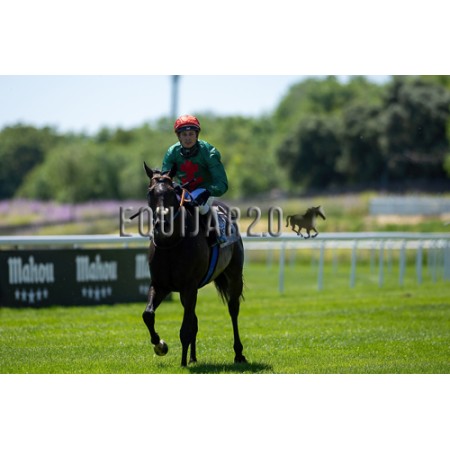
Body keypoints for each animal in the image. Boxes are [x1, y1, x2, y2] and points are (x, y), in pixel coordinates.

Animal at [141, 162, 247, 367]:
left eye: (172, 191)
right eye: (150, 192)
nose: (163, 222)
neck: (171, 244)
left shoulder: (189, 287)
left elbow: (185, 329)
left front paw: (182, 362)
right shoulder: (160, 284)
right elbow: (148, 315)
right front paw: (160, 345)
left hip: (234, 274)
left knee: (233, 310)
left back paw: (238, 354)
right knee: (194, 319)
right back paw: (193, 357)